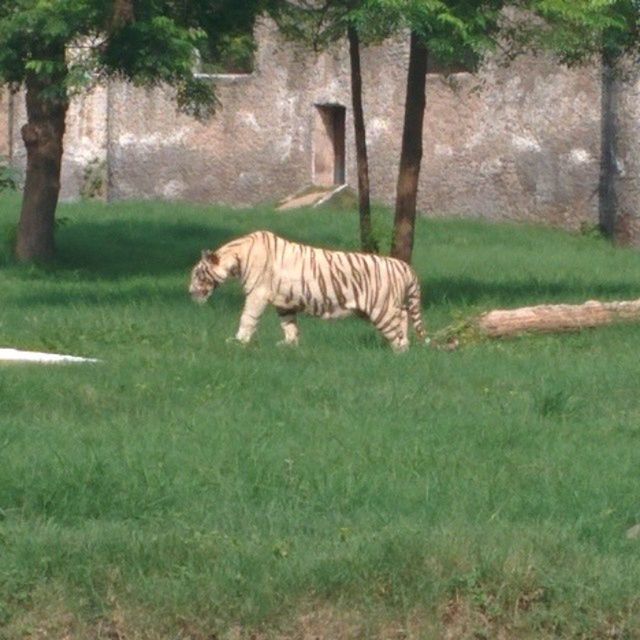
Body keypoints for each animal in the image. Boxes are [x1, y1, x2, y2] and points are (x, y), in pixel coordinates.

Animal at [190, 229, 430, 350]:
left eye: (198, 274)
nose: (190, 292)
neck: (236, 257)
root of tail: (405, 267)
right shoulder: (283, 301)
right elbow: (288, 324)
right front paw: (289, 344)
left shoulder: (257, 294)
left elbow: (247, 317)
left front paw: (238, 341)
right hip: (387, 306)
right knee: (404, 316)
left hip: (382, 308)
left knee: (397, 328)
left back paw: (399, 350)